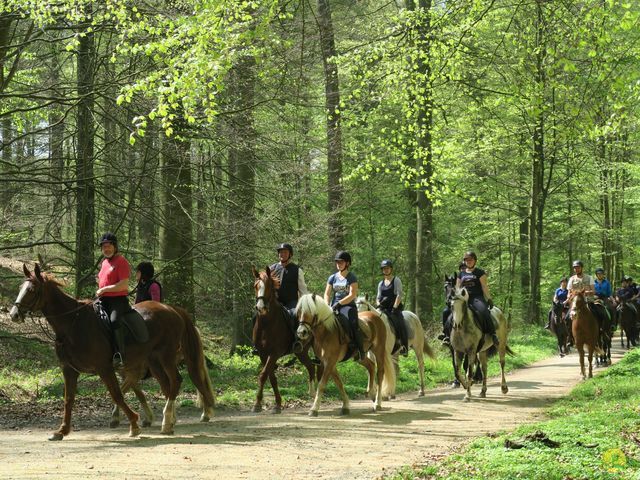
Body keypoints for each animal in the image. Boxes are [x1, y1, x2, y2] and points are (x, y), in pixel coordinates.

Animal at [10, 264, 216, 440]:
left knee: (177, 381)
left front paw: (134, 424)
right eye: (21, 287)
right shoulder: (69, 369)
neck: (73, 324)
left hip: (166, 356)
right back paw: (171, 421)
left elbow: (117, 394)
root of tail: (173, 309)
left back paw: (170, 421)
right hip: (155, 361)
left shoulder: (105, 368)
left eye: (31, 290)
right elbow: (69, 399)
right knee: (168, 385)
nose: (14, 314)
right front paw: (61, 431)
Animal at [250, 266, 320, 412]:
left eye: (269, 286)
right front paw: (276, 404)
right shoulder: (263, 354)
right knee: (311, 367)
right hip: (301, 352)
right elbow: (271, 377)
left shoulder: (274, 353)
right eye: (255, 286)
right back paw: (312, 394)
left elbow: (263, 375)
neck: (267, 324)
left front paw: (258, 404)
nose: (260, 307)